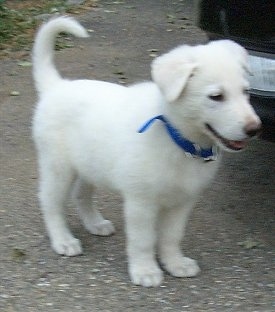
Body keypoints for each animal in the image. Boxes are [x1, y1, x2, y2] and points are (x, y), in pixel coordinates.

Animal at [31, 15, 260, 286]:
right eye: (216, 96)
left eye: (246, 92)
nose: (254, 129)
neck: (177, 139)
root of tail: (57, 86)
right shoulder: (141, 202)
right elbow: (143, 240)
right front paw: (145, 270)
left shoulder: (183, 201)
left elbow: (172, 236)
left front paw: (175, 263)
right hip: (58, 167)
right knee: (50, 203)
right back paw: (63, 240)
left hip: (89, 164)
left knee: (81, 194)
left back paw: (95, 223)